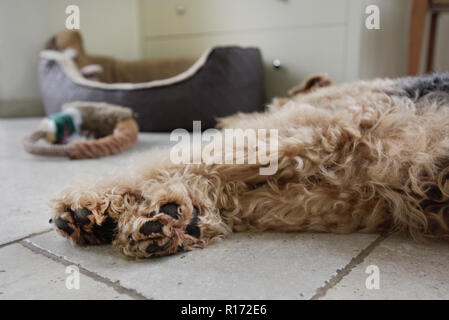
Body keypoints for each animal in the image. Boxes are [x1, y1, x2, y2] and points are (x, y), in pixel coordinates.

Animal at [48, 72, 448, 258]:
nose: (223, 121)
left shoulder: (320, 128)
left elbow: (172, 163)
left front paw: (93, 206)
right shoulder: (356, 199)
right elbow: (238, 199)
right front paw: (184, 215)